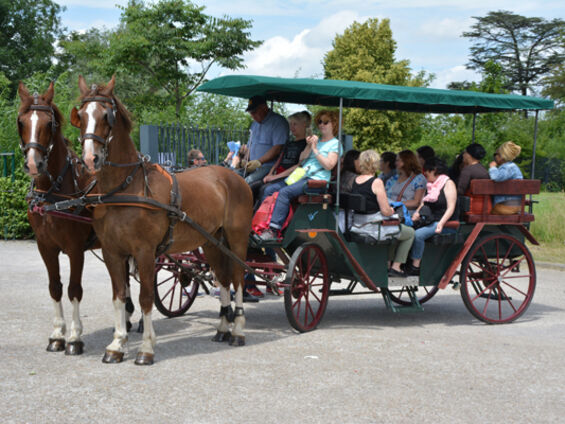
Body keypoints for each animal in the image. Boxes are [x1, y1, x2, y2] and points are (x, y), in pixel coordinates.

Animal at [17, 82, 98, 354]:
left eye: (49, 123)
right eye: (21, 122)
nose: (34, 164)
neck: (53, 194)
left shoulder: (75, 248)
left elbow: (74, 289)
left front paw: (74, 337)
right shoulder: (46, 247)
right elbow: (55, 288)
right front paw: (56, 335)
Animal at [71, 75, 252, 364]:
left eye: (106, 116)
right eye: (81, 115)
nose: (90, 158)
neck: (126, 188)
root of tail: (234, 176)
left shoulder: (145, 252)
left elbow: (145, 298)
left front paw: (145, 348)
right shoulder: (113, 252)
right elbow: (119, 297)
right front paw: (117, 344)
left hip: (237, 239)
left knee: (237, 278)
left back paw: (237, 331)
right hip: (212, 242)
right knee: (223, 280)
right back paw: (223, 328)